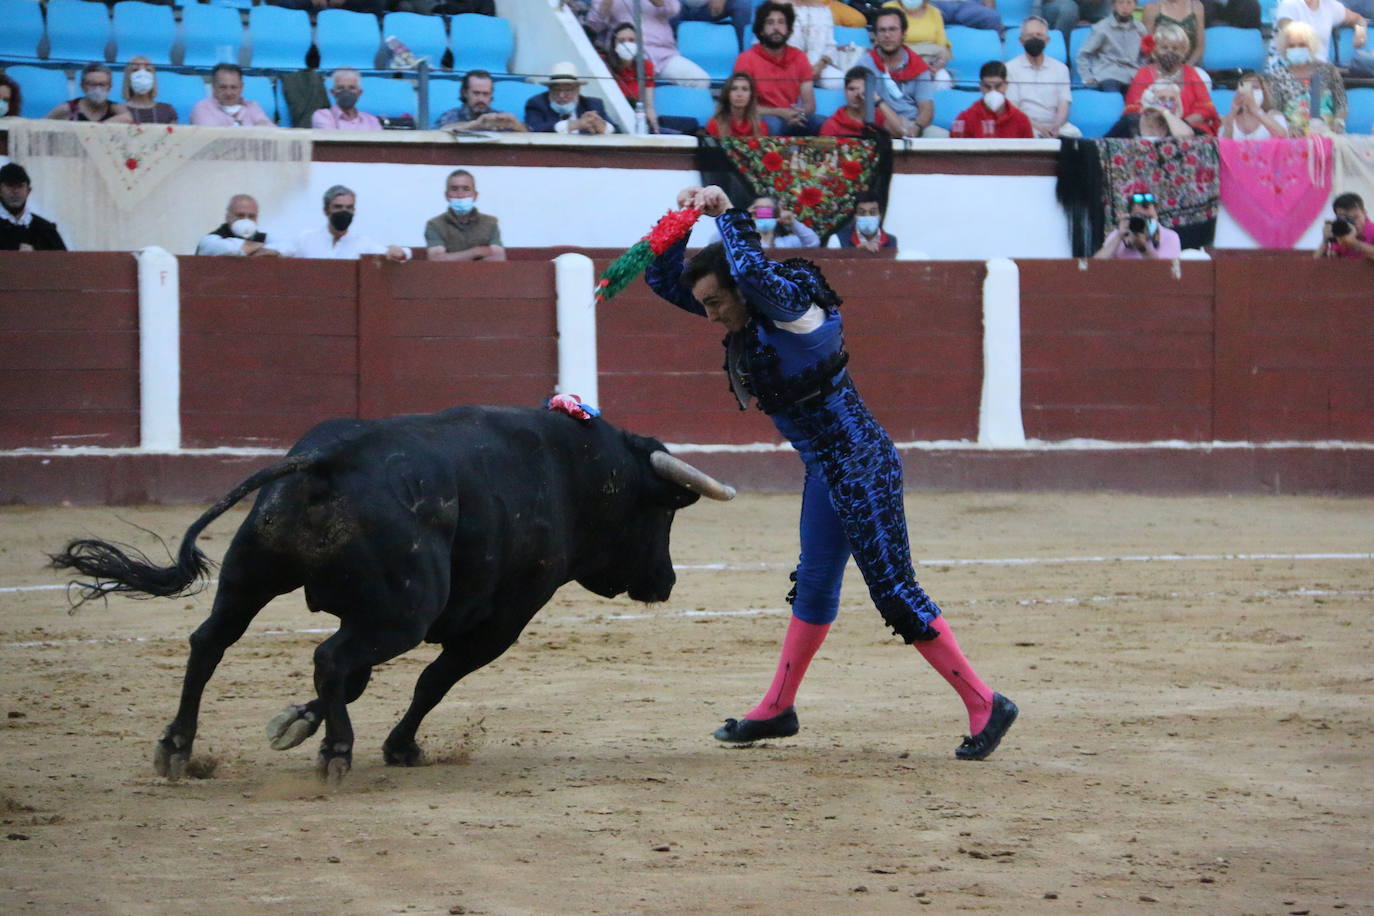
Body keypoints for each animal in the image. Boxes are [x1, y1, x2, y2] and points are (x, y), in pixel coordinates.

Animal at [52, 409, 736, 780]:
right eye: (662, 513)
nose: (667, 581)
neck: (578, 470)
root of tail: (325, 459)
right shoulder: (502, 620)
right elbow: (432, 681)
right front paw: (397, 746)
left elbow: (356, 683)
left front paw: (294, 723)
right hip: (404, 612)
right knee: (328, 657)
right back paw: (338, 753)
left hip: (252, 577)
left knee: (211, 642)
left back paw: (176, 746)